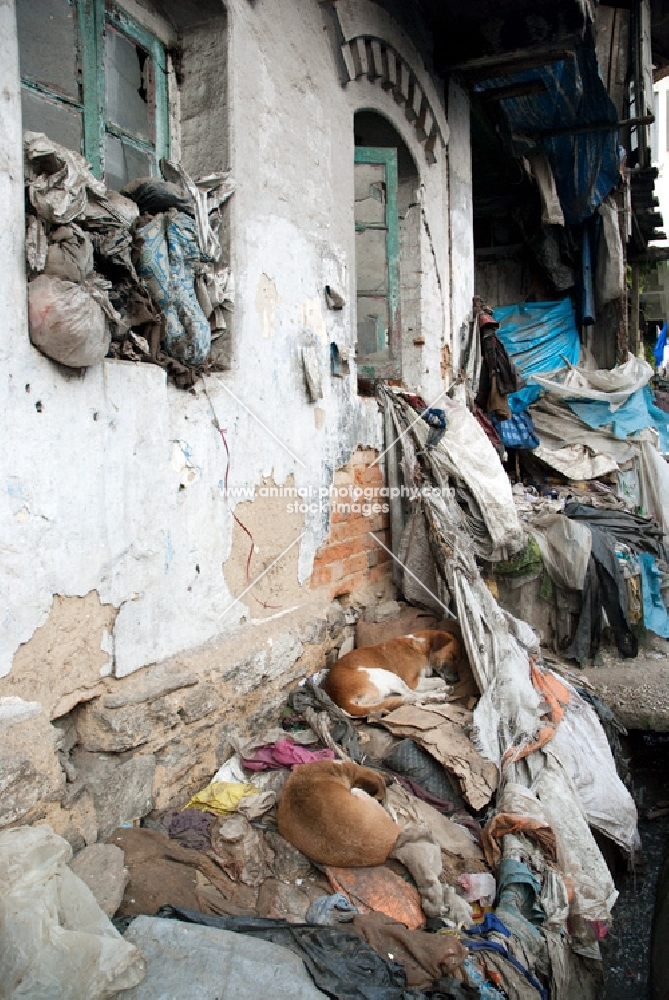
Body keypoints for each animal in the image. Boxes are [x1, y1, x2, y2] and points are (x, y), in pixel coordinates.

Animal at [322, 628, 460, 716]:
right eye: (453, 656)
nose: (458, 679)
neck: (419, 647)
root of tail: (341, 699)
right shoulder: (412, 682)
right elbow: (440, 680)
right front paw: (441, 686)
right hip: (386, 675)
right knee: (410, 696)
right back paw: (440, 694)